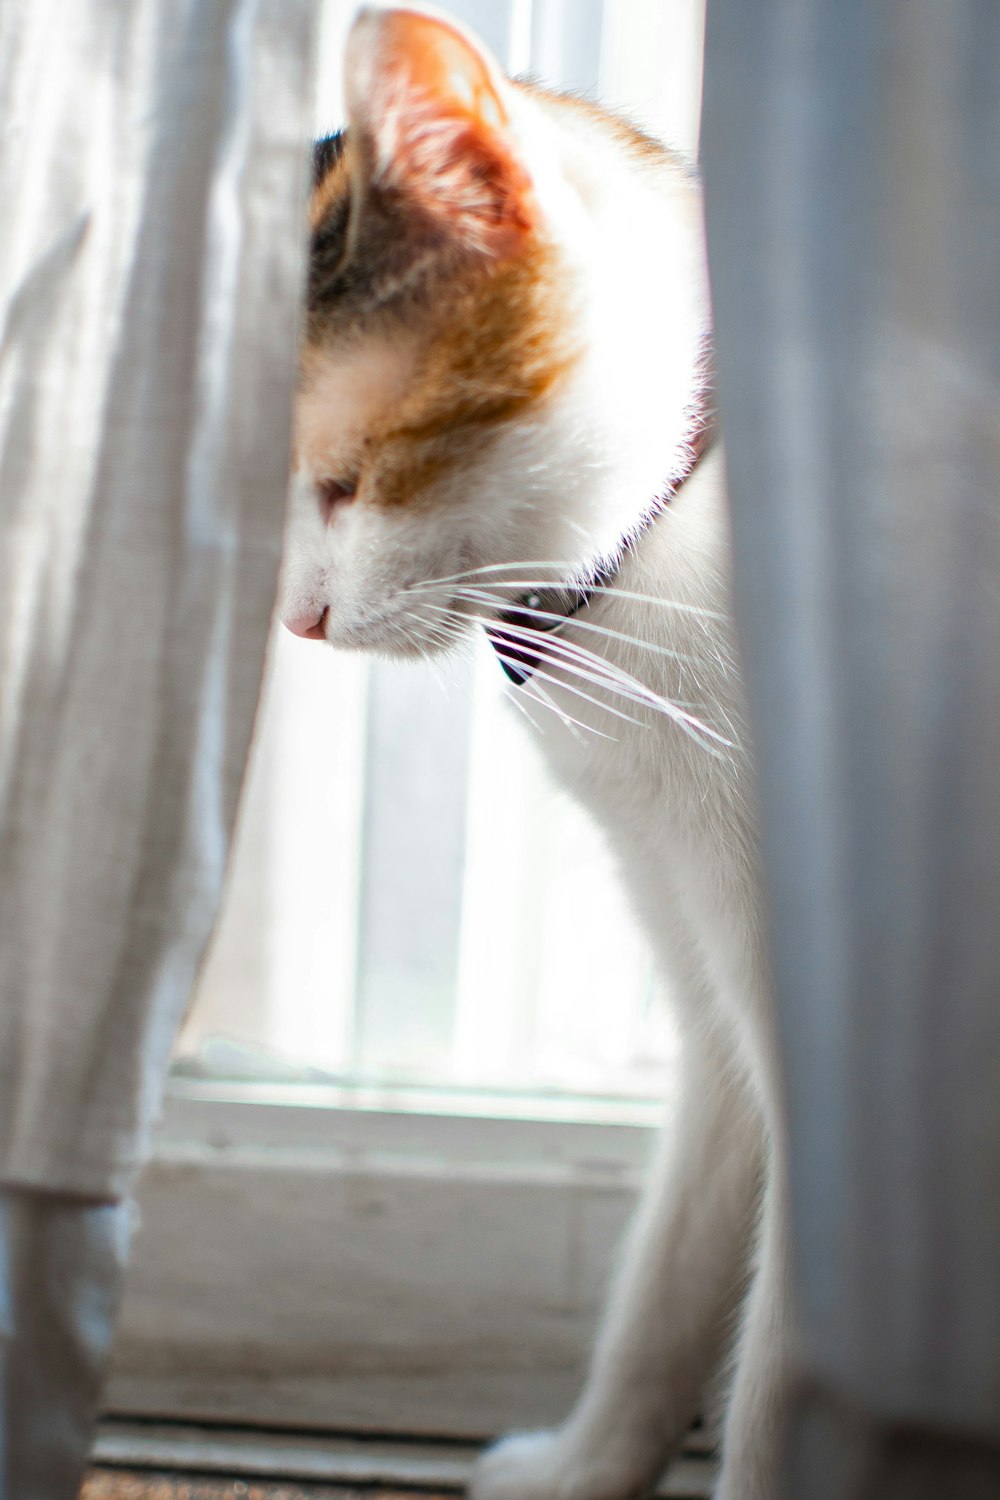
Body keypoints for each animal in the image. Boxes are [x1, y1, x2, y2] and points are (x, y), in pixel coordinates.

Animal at [280, 5, 791, 1494]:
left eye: (348, 481)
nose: (296, 620)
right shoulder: (709, 991)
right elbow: (667, 1279)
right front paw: (588, 1467)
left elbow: (781, 1393)